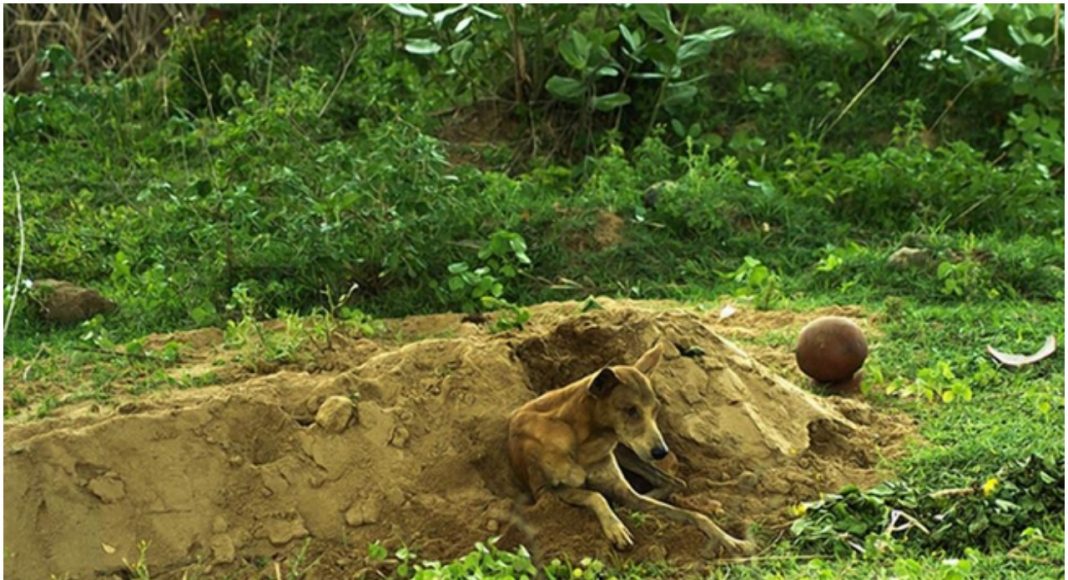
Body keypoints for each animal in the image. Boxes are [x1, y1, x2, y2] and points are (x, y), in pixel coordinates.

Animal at [506, 341, 751, 555]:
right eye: (631, 410)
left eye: (655, 409)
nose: (661, 452)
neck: (582, 438)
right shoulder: (545, 492)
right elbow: (595, 495)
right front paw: (616, 528)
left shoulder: (621, 487)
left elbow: (694, 515)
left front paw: (727, 538)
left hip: (626, 452)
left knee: (672, 482)